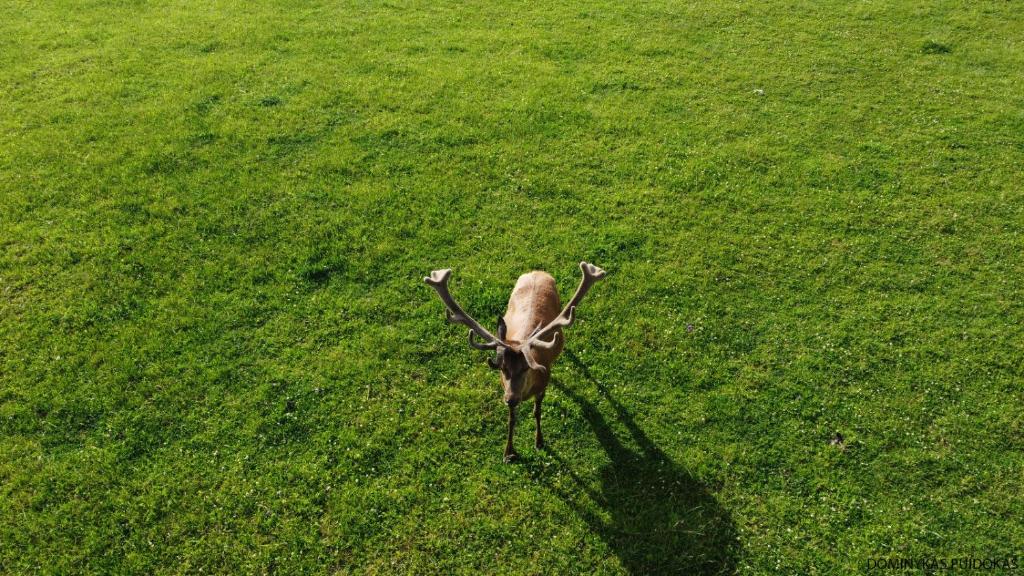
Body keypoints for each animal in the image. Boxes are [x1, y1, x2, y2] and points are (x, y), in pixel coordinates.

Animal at [425, 260, 606, 461]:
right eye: (503, 369)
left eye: (526, 368)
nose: (510, 400)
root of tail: (537, 272)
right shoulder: (506, 388)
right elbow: (511, 420)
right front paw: (508, 452)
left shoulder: (543, 384)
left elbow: (537, 412)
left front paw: (539, 441)